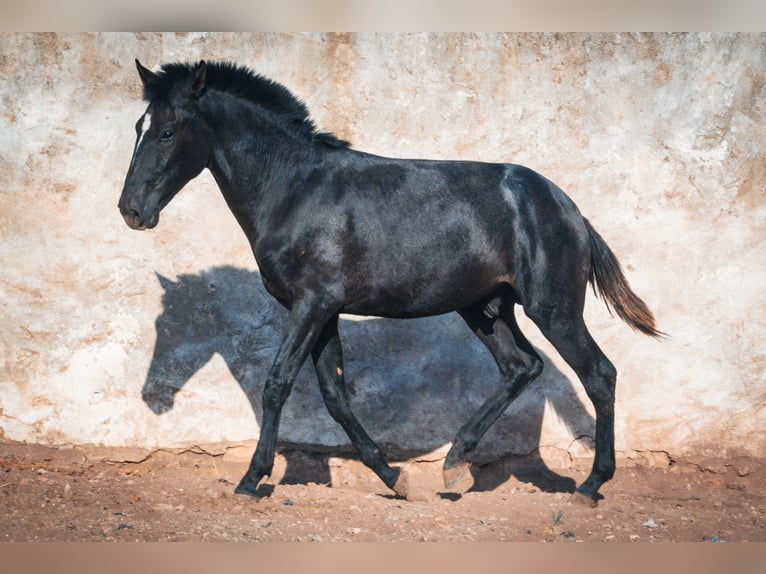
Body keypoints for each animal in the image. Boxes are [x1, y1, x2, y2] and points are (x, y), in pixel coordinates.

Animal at [117, 59, 664, 508]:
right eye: (138, 126)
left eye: (167, 132)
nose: (131, 211)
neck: (295, 189)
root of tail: (569, 208)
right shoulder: (324, 311)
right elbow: (335, 396)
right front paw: (394, 478)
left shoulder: (311, 304)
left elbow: (277, 383)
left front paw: (252, 479)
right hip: (485, 309)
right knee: (521, 367)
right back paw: (453, 465)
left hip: (553, 309)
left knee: (599, 374)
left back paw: (591, 486)